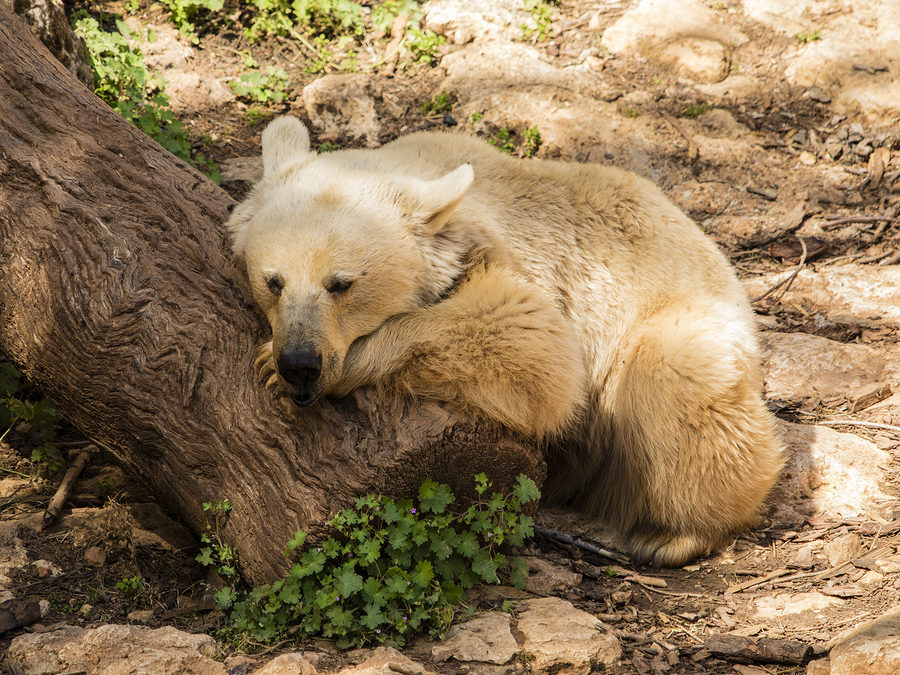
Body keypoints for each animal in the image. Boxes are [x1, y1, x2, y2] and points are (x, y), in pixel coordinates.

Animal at [229, 115, 784, 564]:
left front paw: (296, 366)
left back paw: (675, 535)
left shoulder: (511, 258)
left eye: (341, 284)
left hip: (679, 323)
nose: (299, 363)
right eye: (273, 281)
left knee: (675, 380)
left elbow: (532, 342)